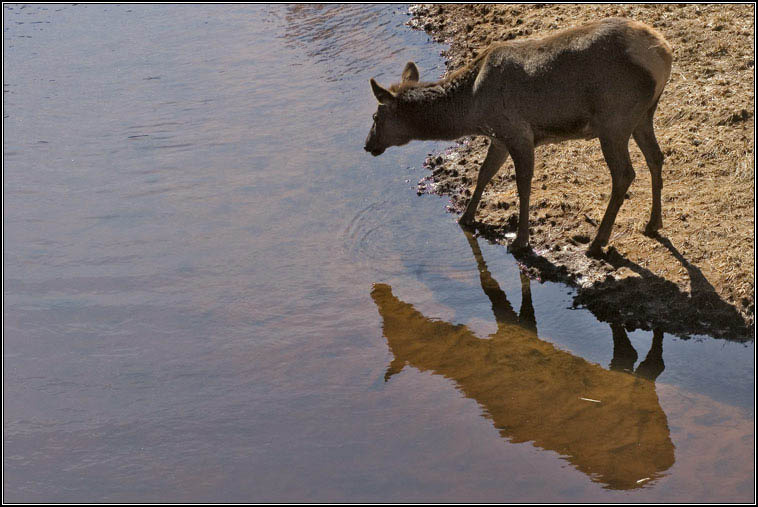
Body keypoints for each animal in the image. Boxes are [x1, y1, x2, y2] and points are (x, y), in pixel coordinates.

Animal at [364, 18, 673, 257]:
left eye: (376, 117)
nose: (368, 145)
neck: (472, 107)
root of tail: (663, 52)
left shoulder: (517, 133)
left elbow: (522, 185)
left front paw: (521, 241)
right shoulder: (499, 137)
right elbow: (483, 174)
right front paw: (466, 217)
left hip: (614, 119)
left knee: (624, 174)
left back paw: (597, 243)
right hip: (643, 115)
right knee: (656, 157)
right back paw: (653, 223)